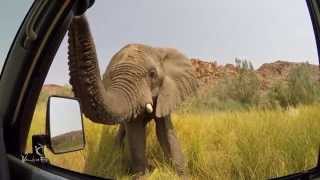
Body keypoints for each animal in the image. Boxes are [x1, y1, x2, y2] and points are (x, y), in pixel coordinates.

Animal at [67, 14, 198, 176]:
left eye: (152, 74)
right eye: (108, 78)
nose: (77, 16)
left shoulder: (166, 94)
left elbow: (165, 132)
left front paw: (182, 175)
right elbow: (135, 133)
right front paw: (142, 176)